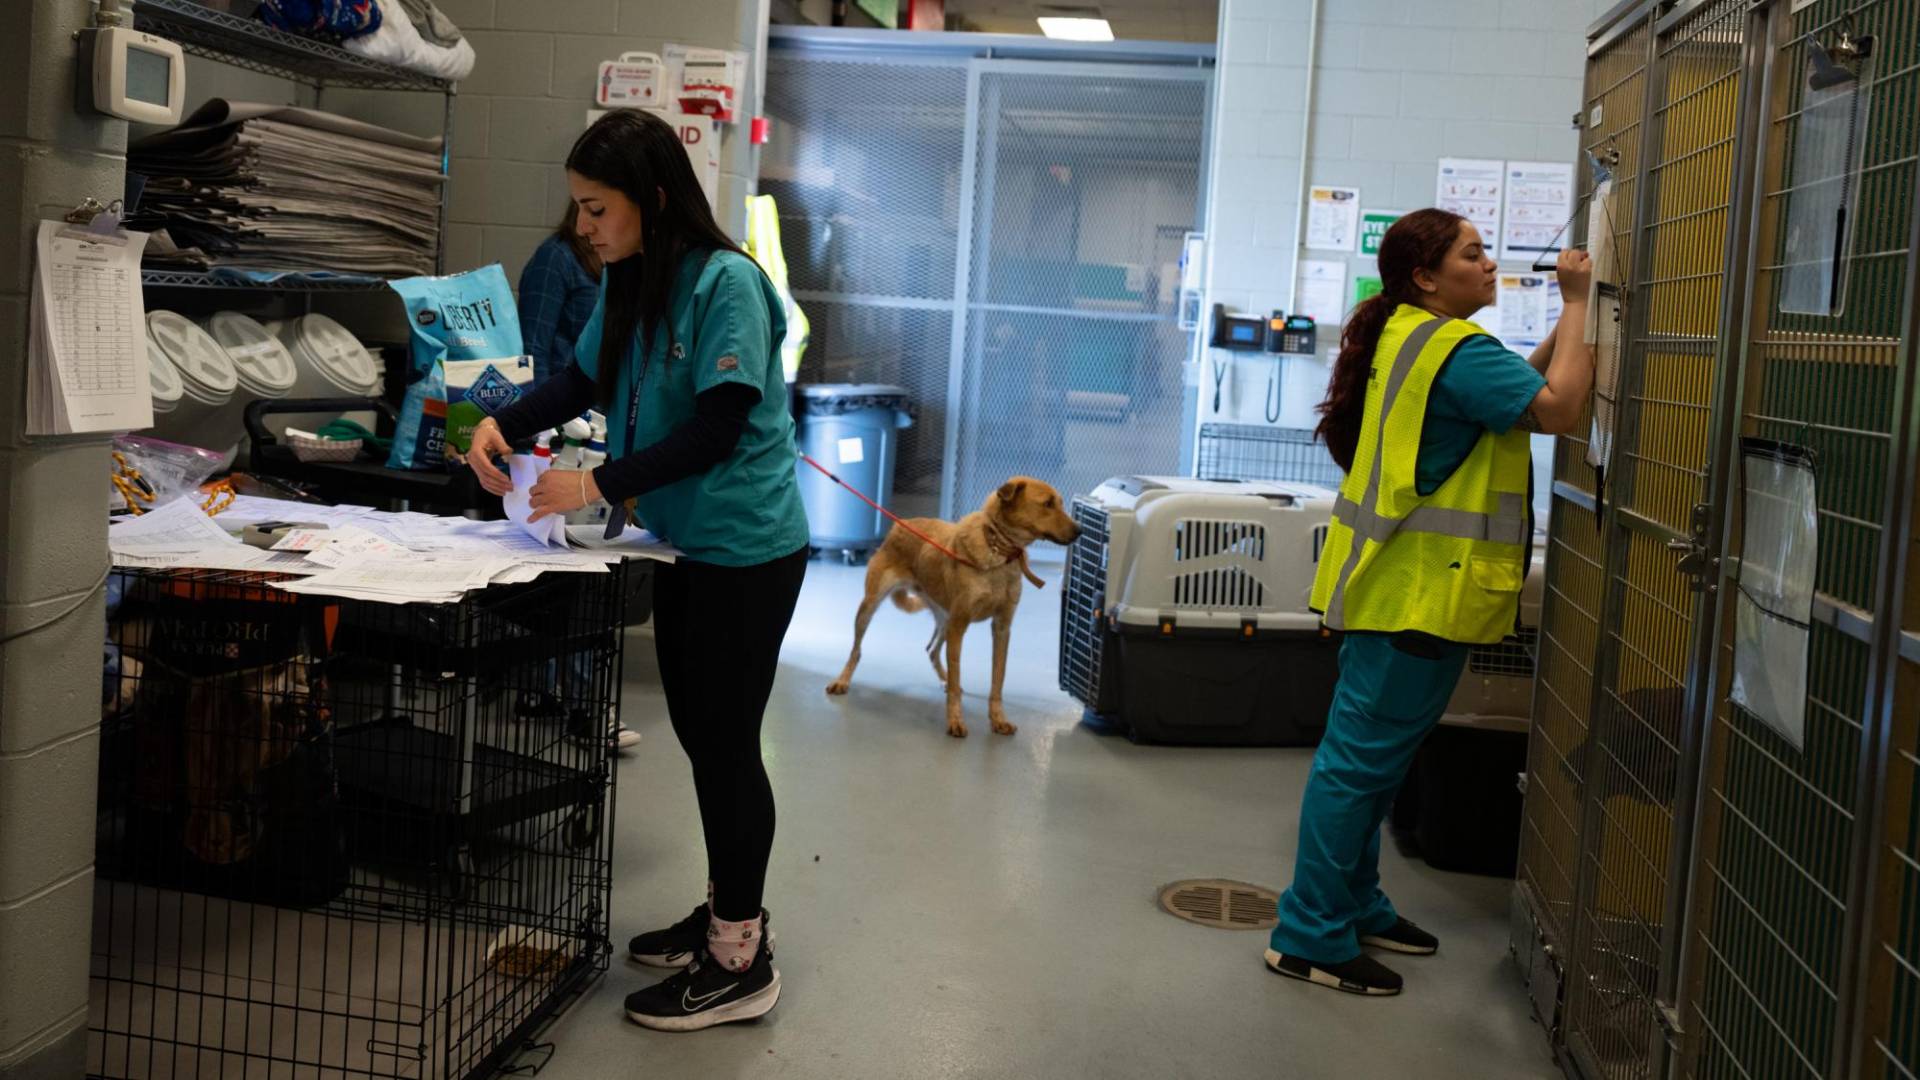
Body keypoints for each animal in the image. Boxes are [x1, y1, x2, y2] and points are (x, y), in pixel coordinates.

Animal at [825, 474, 1082, 734]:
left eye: (1061, 503)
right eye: (1048, 504)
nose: (1080, 530)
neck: (998, 553)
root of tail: (900, 524)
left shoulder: (1001, 627)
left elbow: (997, 679)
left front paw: (998, 718)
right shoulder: (960, 625)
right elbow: (958, 673)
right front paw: (956, 720)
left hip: (945, 620)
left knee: (931, 650)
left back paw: (945, 679)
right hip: (870, 606)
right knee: (856, 650)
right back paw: (842, 681)